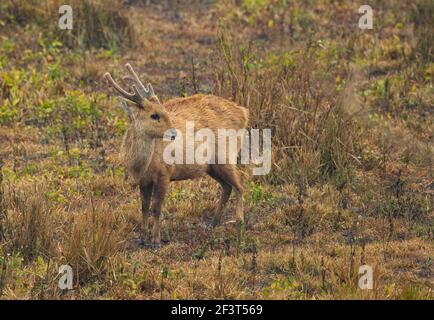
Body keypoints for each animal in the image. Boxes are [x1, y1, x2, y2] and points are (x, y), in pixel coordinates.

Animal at [103, 63, 249, 248]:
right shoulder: (142, 180)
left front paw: (156, 240)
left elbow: (156, 207)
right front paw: (142, 236)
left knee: (240, 185)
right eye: (154, 115)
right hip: (211, 166)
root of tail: (243, 113)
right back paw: (213, 223)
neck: (141, 165)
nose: (174, 133)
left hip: (225, 156)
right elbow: (144, 207)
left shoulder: (165, 173)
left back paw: (239, 222)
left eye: (164, 110)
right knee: (227, 187)